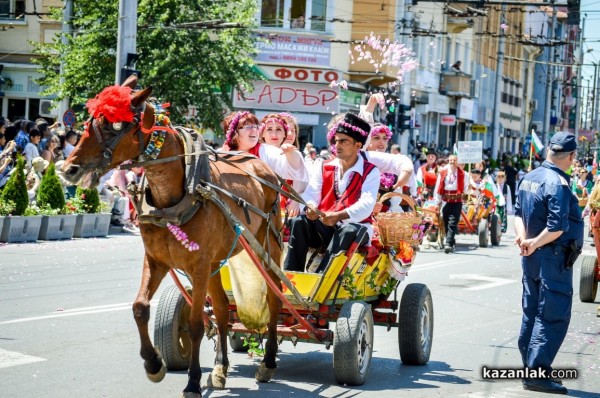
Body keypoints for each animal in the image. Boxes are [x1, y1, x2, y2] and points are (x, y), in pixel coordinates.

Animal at [62, 76, 282, 396]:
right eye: (90, 121)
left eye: (114, 125)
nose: (68, 168)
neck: (176, 196)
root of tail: (263, 167)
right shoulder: (157, 260)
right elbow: (140, 308)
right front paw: (154, 364)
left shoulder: (198, 265)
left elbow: (195, 324)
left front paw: (192, 381)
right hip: (216, 261)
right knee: (221, 308)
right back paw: (221, 367)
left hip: (269, 248)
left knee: (276, 298)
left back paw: (268, 361)